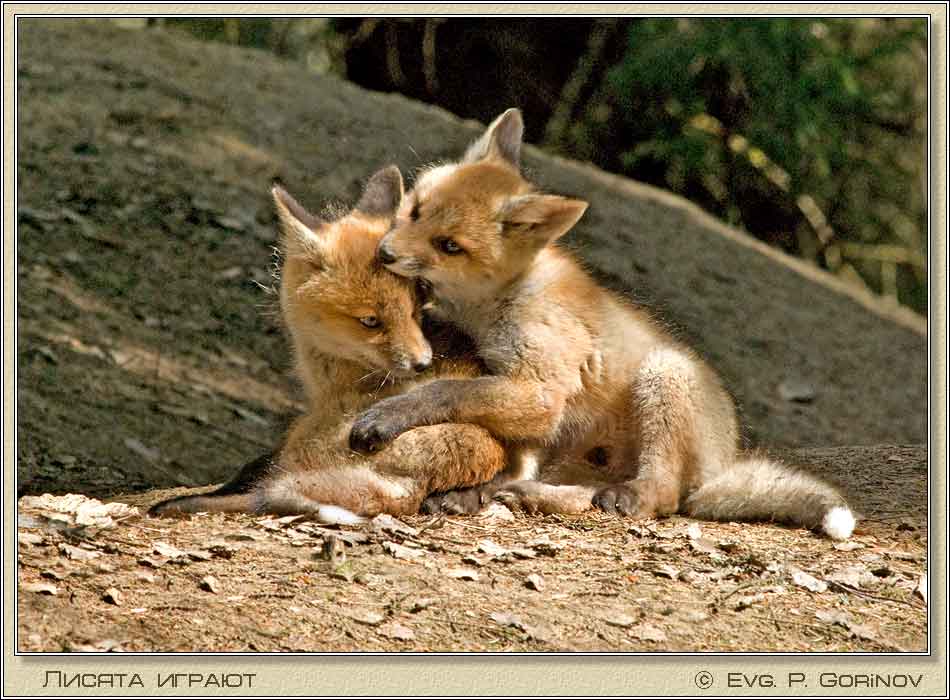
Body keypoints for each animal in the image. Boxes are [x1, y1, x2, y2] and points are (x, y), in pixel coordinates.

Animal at [150, 166, 507, 522]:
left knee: (269, 491)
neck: (336, 376)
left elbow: (258, 466)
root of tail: (411, 487)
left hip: (307, 438)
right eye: (371, 321)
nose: (423, 363)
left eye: (414, 310)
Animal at [348, 109, 856, 540]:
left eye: (449, 245)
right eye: (415, 209)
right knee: (562, 489)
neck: (497, 302)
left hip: (663, 377)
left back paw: (611, 497)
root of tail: (722, 466)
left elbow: (444, 391)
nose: (385, 254)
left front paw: (387, 419)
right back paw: (497, 495)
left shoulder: (543, 392)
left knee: (661, 500)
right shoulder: (517, 394)